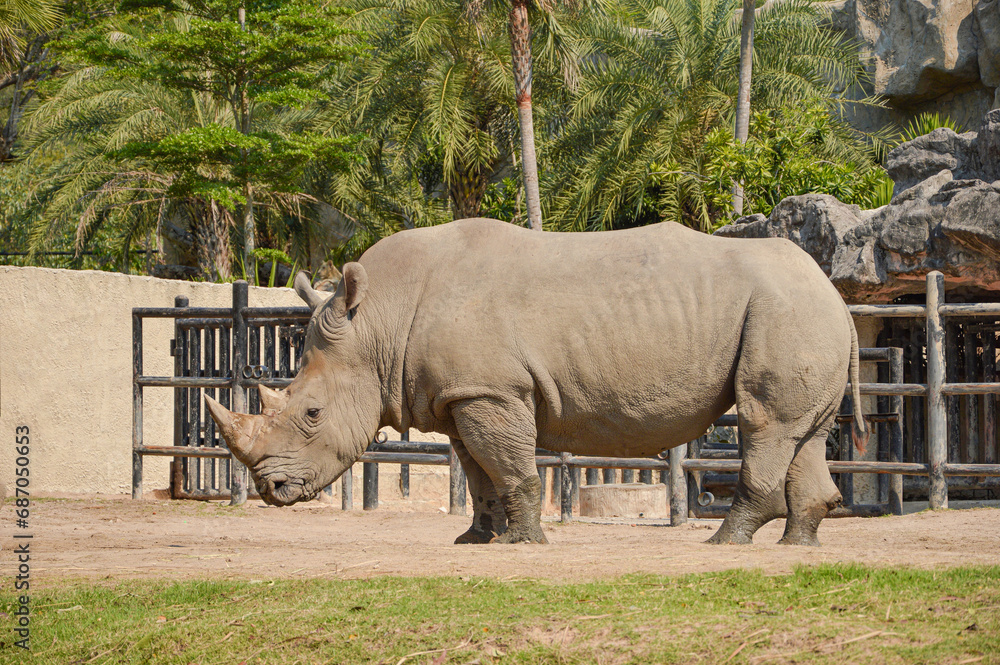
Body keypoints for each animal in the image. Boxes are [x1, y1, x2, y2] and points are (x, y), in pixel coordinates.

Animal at [206, 218, 867, 546]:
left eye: (312, 414)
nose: (270, 490)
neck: (379, 324)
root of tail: (835, 292)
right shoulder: (462, 395)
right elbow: (478, 474)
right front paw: (475, 541)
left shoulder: (491, 392)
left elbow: (513, 467)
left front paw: (525, 544)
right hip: (802, 313)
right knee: (804, 433)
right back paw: (798, 547)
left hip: (786, 310)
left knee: (763, 423)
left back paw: (726, 544)